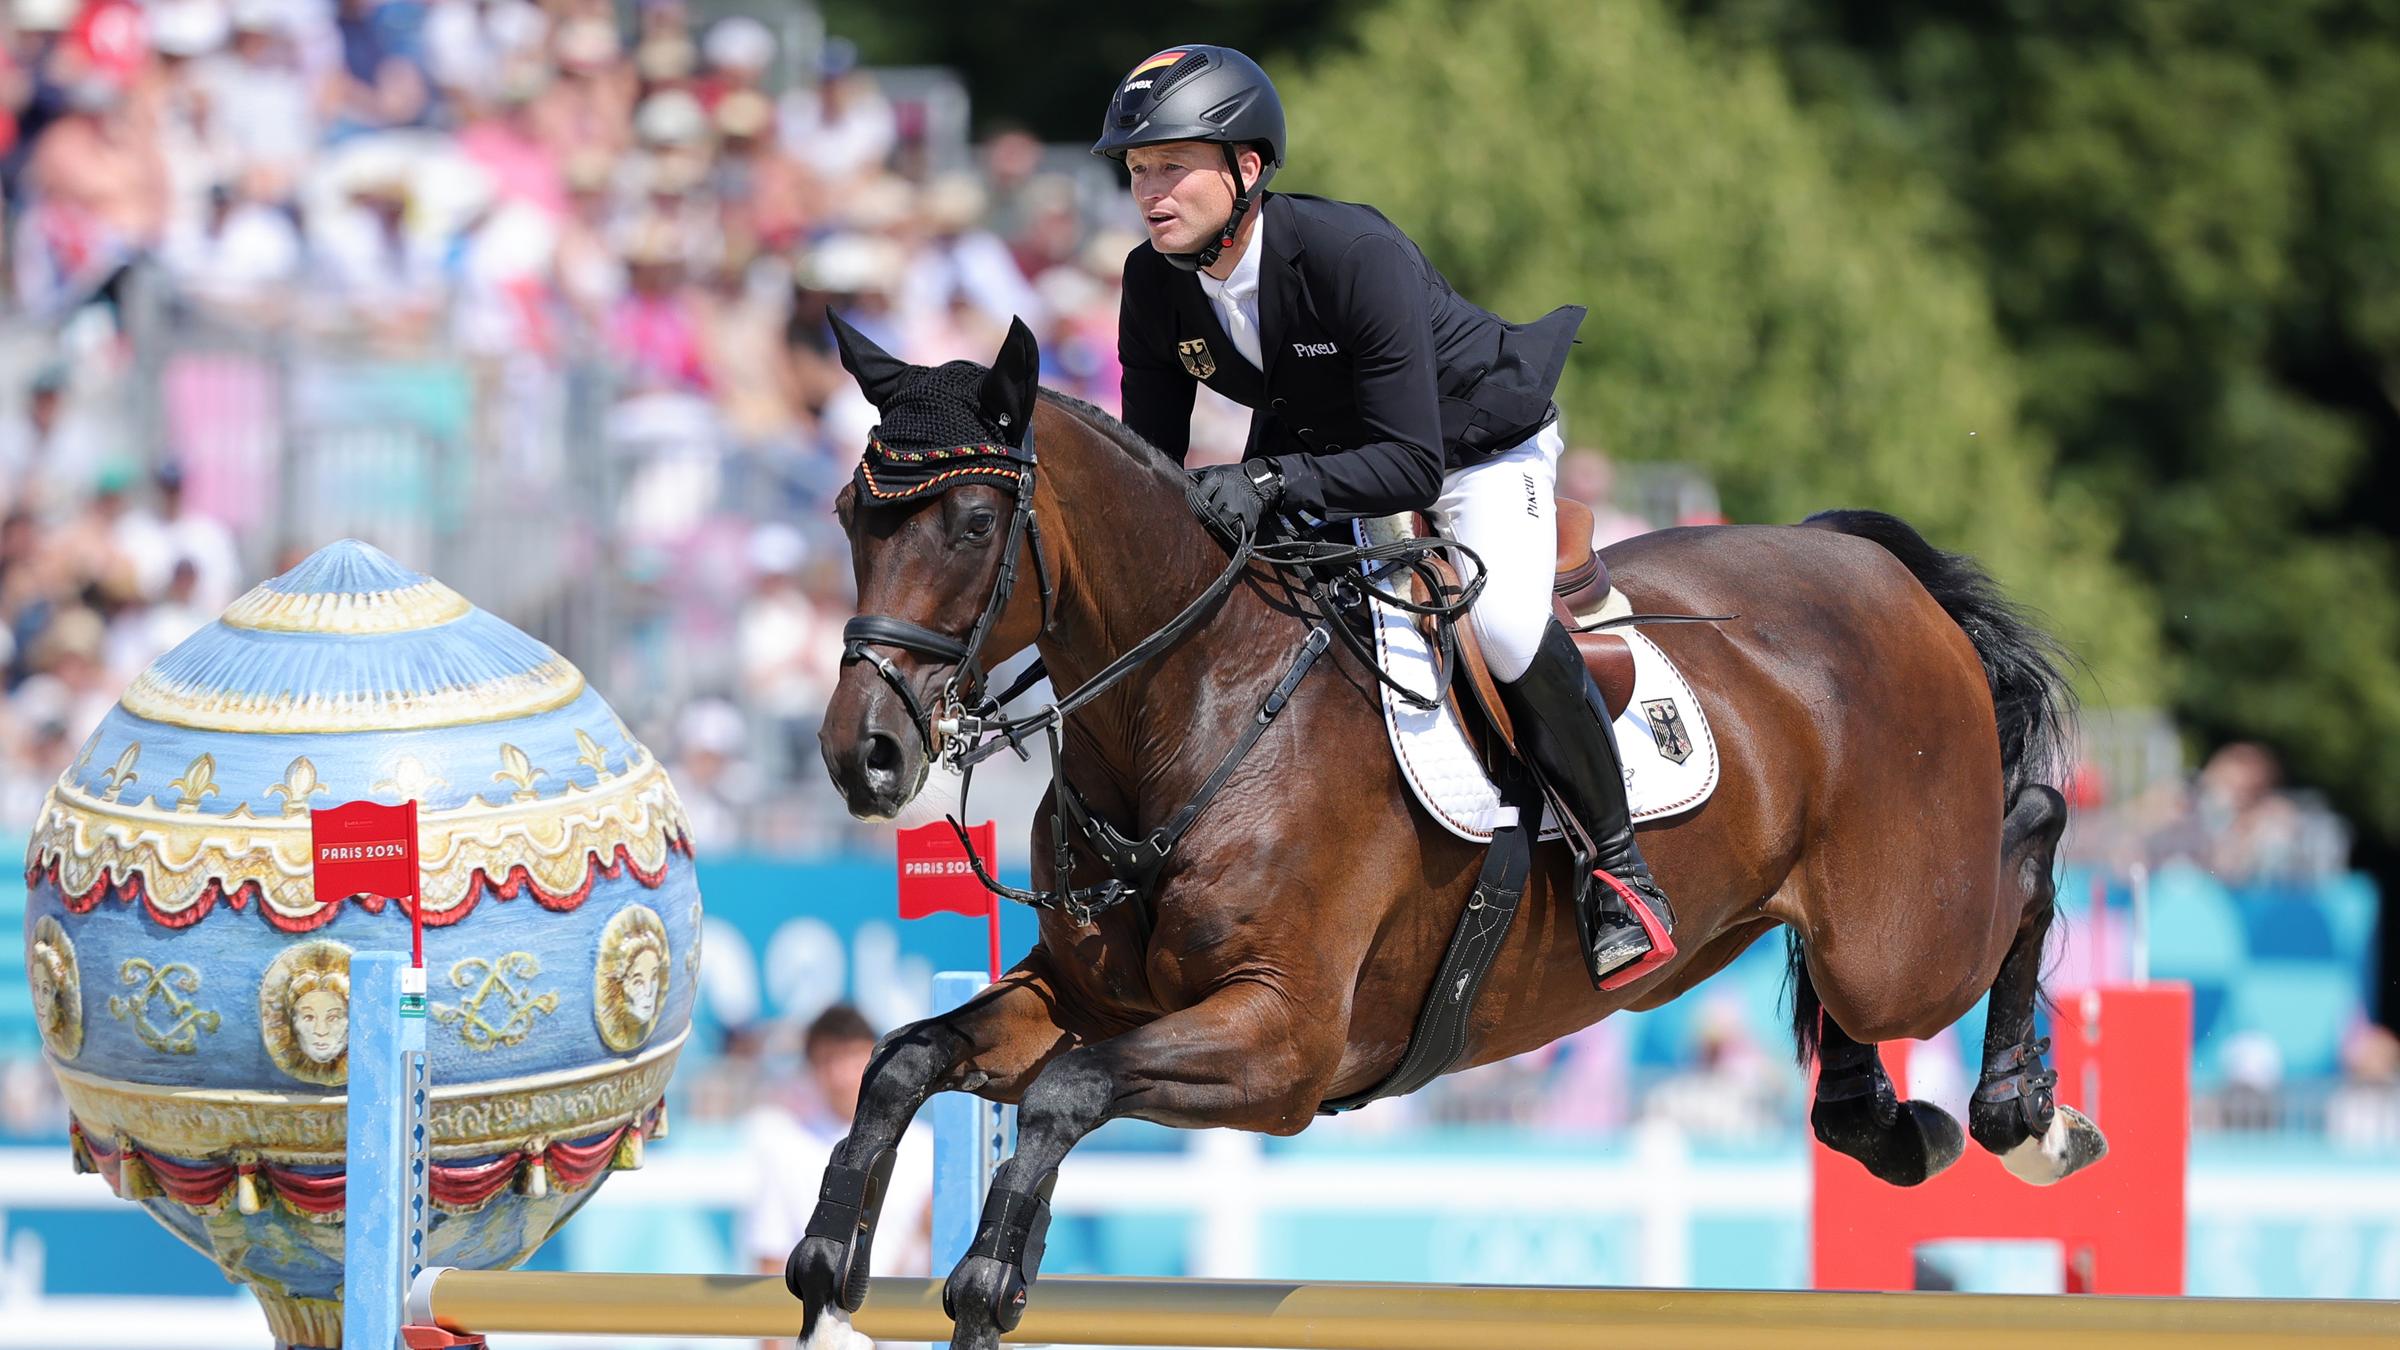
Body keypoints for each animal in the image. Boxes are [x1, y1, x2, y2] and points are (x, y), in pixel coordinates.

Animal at [791, 317, 2099, 1350]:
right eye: (853, 513)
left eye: (972, 523)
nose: (865, 754)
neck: (1194, 708)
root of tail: (1871, 563)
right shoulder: (1087, 998)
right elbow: (905, 1059)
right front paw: (828, 1268)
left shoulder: (1284, 1044)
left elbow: (1066, 1094)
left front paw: (991, 1276)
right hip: (1819, 918)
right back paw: (1883, 1120)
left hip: (1904, 937)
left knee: (2032, 835)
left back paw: (2028, 1117)